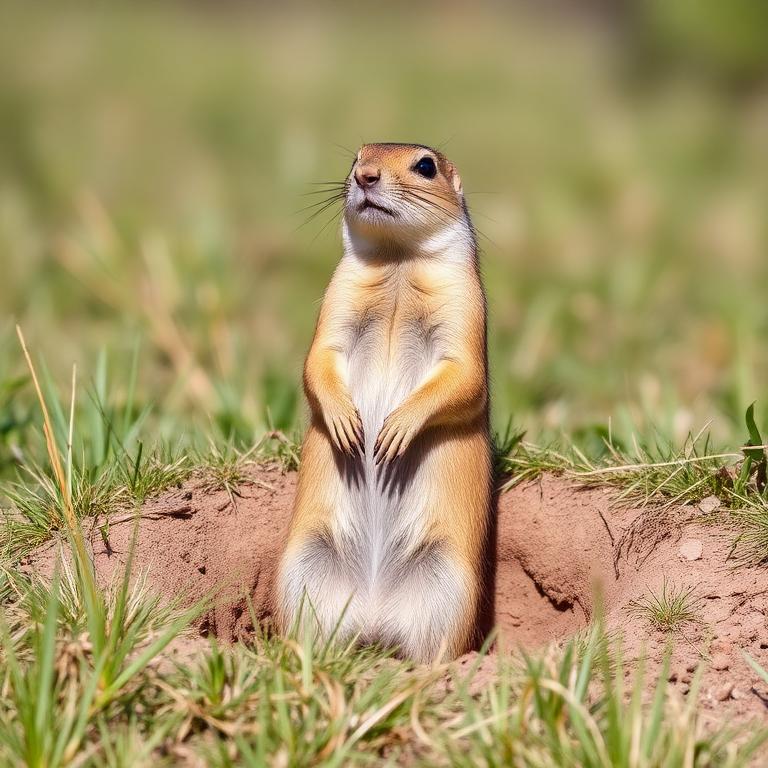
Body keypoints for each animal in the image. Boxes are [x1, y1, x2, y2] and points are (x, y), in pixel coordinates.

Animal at [276, 143, 492, 662]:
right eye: (355, 157)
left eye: (426, 165)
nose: (366, 175)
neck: (398, 264)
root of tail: (373, 619)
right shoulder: (336, 299)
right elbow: (317, 359)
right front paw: (346, 425)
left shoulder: (465, 306)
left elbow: (465, 376)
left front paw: (394, 431)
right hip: (303, 569)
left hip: (448, 585)